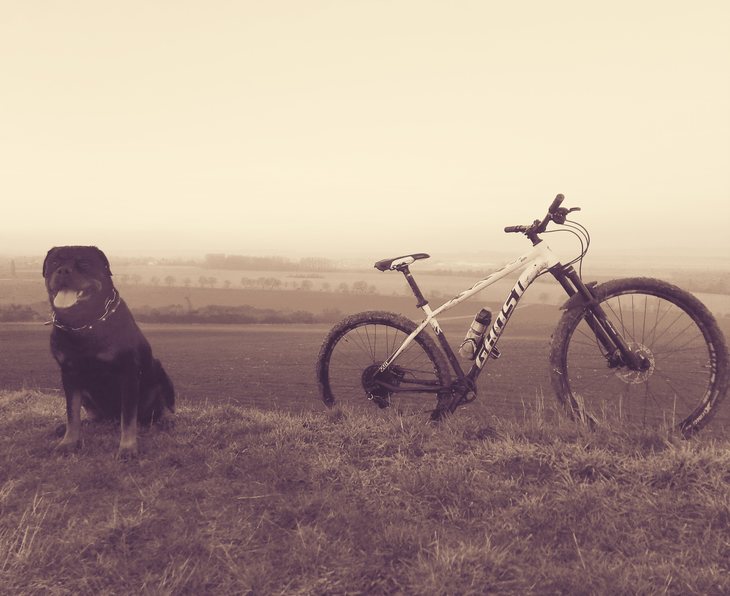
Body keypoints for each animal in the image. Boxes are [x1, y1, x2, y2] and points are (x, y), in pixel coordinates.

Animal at [43, 246, 175, 458]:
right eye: (54, 262)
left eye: (84, 263)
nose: (63, 270)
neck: (83, 324)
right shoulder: (69, 374)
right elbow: (72, 413)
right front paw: (68, 442)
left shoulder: (128, 372)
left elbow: (128, 417)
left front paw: (127, 448)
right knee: (94, 415)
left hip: (160, 373)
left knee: (160, 407)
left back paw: (165, 420)